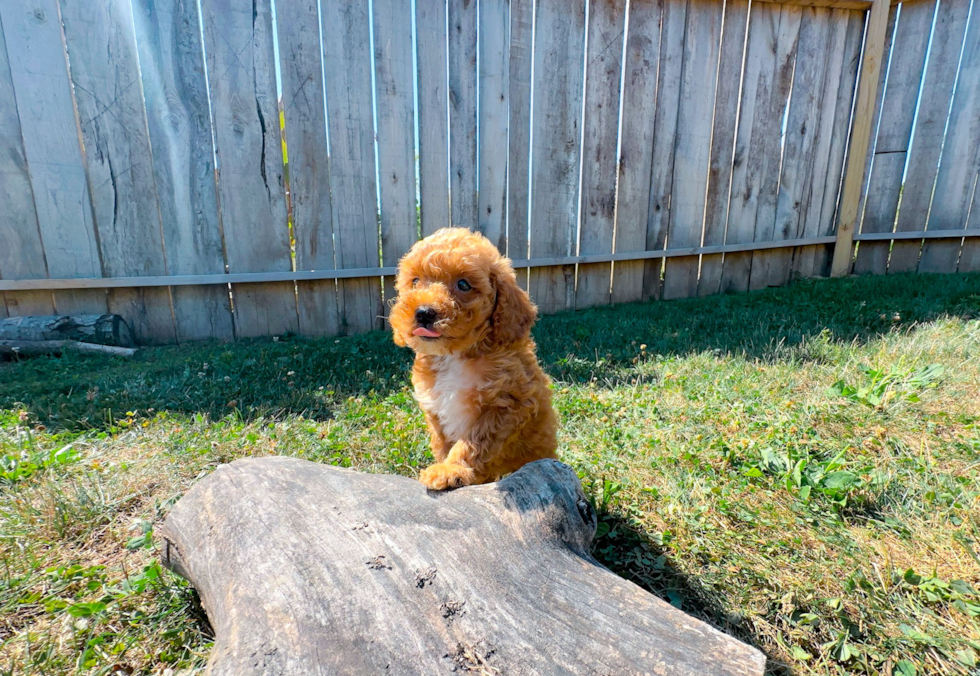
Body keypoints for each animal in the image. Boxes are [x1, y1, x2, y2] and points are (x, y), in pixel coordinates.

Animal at [390, 228, 560, 492]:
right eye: (415, 281)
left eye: (463, 284)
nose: (424, 312)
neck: (455, 356)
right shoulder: (435, 409)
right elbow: (442, 444)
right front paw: (445, 466)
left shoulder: (508, 403)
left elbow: (474, 441)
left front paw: (451, 470)